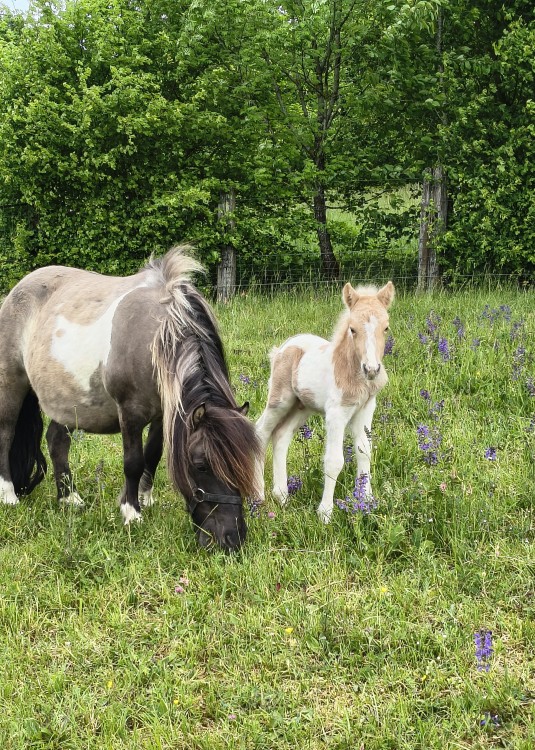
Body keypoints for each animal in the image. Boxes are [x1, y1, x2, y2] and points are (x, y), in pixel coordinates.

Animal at [0, 246, 260, 551]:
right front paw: (131, 511)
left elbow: (153, 455)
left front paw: (146, 498)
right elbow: (133, 462)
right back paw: (9, 495)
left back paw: (69, 497)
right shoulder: (130, 414)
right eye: (201, 465)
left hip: (67, 402)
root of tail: (18, 289)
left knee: (56, 441)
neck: (158, 335)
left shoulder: (164, 413)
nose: (232, 538)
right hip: (11, 385)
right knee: (6, 436)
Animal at [255, 281, 395, 523]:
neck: (350, 370)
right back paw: (258, 495)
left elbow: (364, 450)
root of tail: (283, 347)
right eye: (352, 329)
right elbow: (334, 460)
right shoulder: (336, 413)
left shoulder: (366, 408)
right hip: (280, 400)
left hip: (302, 406)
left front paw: (367, 501)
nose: (371, 369)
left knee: (281, 435)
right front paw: (325, 513)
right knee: (261, 431)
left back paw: (282, 495)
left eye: (386, 328)